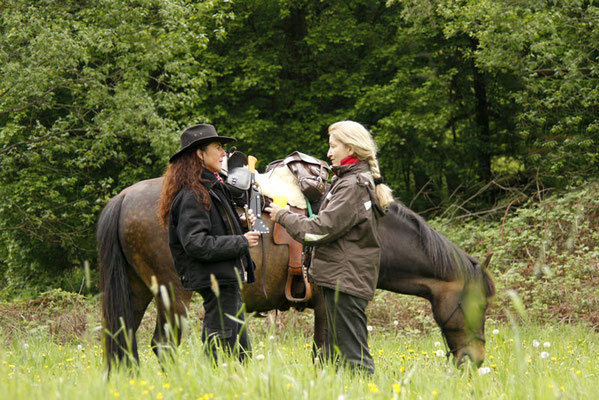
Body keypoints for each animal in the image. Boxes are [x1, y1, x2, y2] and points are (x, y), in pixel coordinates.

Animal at [98, 175, 494, 372]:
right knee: (161, 345)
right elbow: (325, 352)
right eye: (481, 305)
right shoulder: (327, 302)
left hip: (137, 289)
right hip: (172, 293)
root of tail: (124, 198)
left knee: (124, 341)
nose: (476, 360)